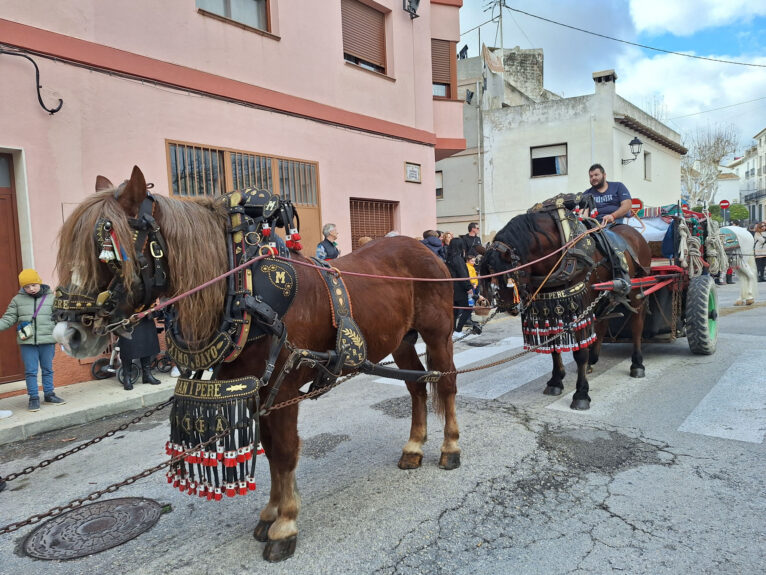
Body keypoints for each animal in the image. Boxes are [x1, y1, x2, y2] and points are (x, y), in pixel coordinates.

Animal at [55, 164, 462, 560]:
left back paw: (450, 448)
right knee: (416, 385)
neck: (242, 290)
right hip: (402, 339)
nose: (66, 334)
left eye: (105, 250)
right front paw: (270, 513)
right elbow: (269, 451)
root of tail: (424, 248)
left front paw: (285, 524)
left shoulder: (282, 386)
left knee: (446, 383)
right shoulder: (259, 388)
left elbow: (283, 450)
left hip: (438, 333)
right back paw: (413, 447)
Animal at [484, 209, 652, 412]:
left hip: (636, 291)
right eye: (488, 274)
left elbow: (579, 353)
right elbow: (554, 347)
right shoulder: (549, 308)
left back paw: (637, 363)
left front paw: (581, 393)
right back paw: (594, 359)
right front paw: (556, 381)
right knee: (602, 322)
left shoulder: (579, 307)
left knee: (637, 326)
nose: (507, 307)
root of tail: (635, 233)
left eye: (508, 275)